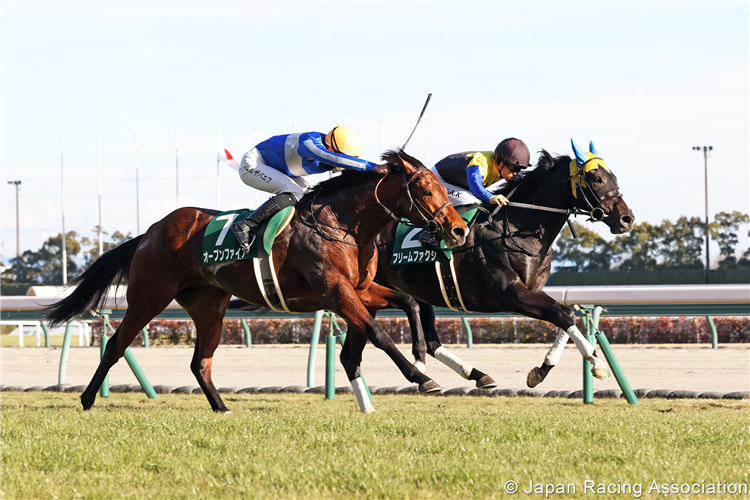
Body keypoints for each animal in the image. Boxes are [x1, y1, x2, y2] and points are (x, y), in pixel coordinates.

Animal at [45, 149, 470, 414]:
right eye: (426, 190)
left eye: (442, 189)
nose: (459, 230)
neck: (341, 224)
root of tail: (150, 231)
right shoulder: (334, 292)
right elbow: (378, 334)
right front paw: (421, 377)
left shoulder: (362, 289)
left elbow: (408, 301)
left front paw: (422, 352)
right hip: (149, 297)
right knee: (115, 345)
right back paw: (86, 399)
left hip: (209, 306)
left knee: (200, 362)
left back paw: (222, 407)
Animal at [374, 143, 636, 388]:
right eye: (597, 178)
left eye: (614, 177)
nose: (627, 219)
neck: (514, 230)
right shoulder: (510, 295)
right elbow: (562, 315)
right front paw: (597, 362)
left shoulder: (532, 290)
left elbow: (567, 314)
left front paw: (541, 371)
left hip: (419, 292)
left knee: (431, 342)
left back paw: (475, 375)